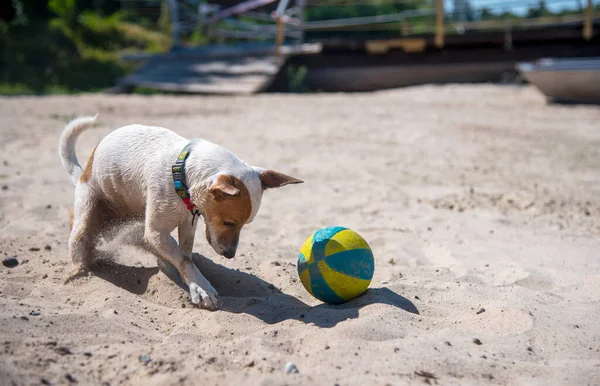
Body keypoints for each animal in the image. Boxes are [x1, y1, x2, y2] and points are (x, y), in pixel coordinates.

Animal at [59, 115, 302, 310]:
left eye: (244, 225)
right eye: (229, 222)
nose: (230, 255)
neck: (181, 174)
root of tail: (82, 173)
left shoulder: (188, 222)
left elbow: (184, 254)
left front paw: (186, 275)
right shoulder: (155, 232)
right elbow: (183, 259)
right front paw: (201, 288)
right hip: (84, 217)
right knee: (80, 250)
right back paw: (81, 272)